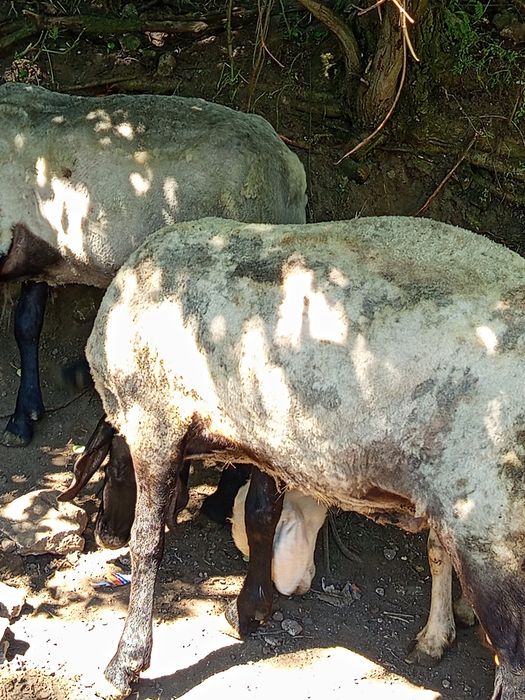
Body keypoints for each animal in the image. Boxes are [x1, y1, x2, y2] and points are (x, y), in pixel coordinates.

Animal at [84, 215, 525, 699]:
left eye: (114, 467)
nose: (104, 534)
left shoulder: (155, 417)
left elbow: (148, 542)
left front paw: (124, 664)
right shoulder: (267, 440)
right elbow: (260, 517)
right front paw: (248, 609)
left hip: (488, 522)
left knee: (513, 652)